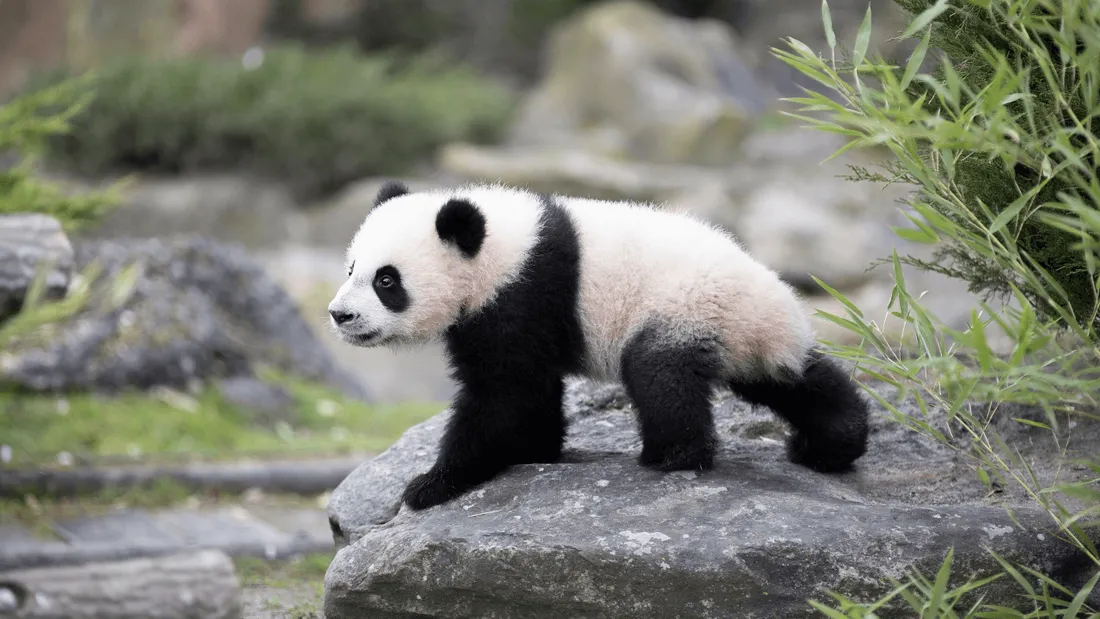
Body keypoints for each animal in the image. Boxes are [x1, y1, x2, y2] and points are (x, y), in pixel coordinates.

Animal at [328, 180, 870, 511]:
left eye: (387, 281)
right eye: (351, 268)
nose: (340, 315)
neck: (500, 250)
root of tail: (767, 310)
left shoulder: (524, 293)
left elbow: (504, 394)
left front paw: (432, 484)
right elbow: (531, 392)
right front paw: (535, 450)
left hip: (685, 308)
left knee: (659, 377)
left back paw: (670, 455)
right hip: (754, 340)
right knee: (796, 379)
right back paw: (831, 441)